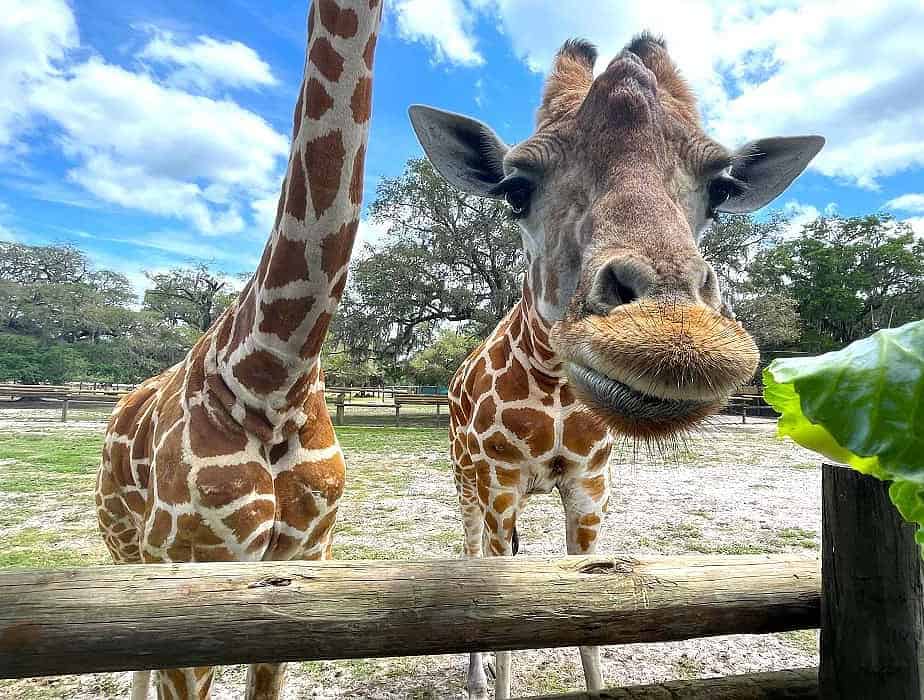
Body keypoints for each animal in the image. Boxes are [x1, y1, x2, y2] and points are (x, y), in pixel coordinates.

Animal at [412, 34, 824, 700]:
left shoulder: (589, 485)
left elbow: (592, 608)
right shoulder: (500, 482)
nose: (673, 335)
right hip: (465, 478)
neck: (554, 387)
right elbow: (498, 615)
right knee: (469, 553)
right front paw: (489, 676)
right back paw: (471, 675)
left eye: (721, 190)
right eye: (515, 189)